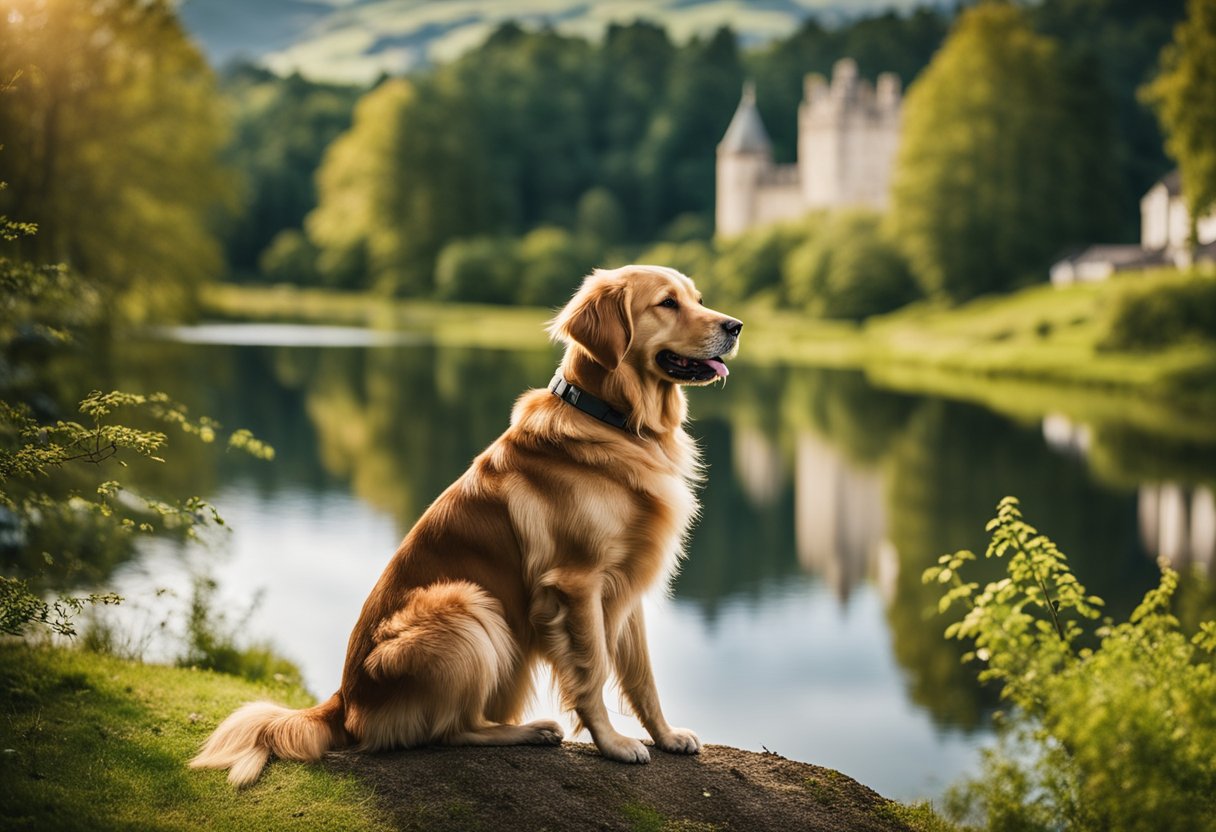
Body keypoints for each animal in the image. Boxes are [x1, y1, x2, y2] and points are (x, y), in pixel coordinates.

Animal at [189, 266, 739, 788]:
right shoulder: (577, 583)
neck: (613, 420)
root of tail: (343, 704)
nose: (735, 326)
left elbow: (642, 675)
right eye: (667, 303)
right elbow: (593, 671)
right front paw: (613, 744)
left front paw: (665, 736)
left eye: (698, 299)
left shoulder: (625, 586)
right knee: (451, 730)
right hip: (466, 606)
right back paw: (527, 731)